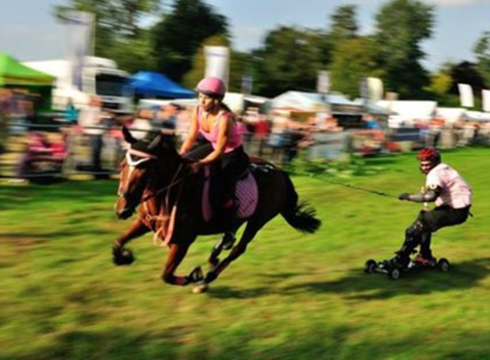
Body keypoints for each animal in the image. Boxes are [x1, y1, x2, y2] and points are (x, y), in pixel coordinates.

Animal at [112, 126, 320, 292]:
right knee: (230, 232)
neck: (171, 192)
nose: (122, 210)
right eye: (122, 166)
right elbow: (117, 243)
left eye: (145, 172)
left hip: (257, 220)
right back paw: (217, 251)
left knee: (239, 249)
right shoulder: (144, 223)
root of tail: (279, 172)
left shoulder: (183, 241)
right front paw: (125, 257)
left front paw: (194, 276)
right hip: (242, 217)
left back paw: (208, 277)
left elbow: (167, 274)